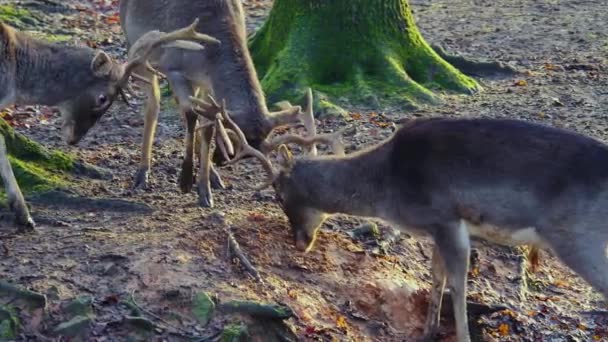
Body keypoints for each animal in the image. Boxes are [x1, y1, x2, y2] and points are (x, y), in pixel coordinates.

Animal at [116, 0, 320, 207]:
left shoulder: (208, 85)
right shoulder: (174, 67)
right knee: (154, 104)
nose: (221, 160)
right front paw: (185, 181)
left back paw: (213, 177)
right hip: (137, 50)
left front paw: (205, 190)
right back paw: (142, 174)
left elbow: (207, 125)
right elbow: (191, 115)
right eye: (232, 135)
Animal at [226, 117, 608, 342]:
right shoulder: (436, 228)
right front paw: (428, 331)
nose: (299, 242)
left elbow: (457, 284)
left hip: (576, 236)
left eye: (278, 193)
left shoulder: (447, 219)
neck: (388, 190)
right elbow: (435, 276)